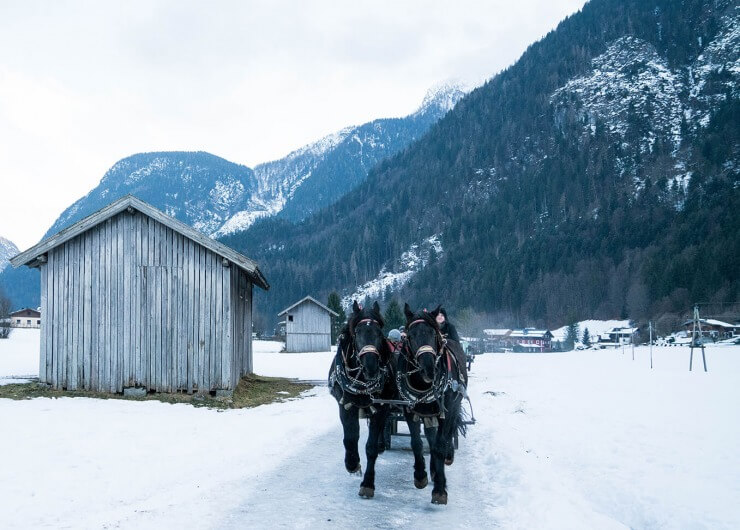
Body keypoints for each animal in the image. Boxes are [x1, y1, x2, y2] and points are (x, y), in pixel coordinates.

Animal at [328, 300, 396, 498]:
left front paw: (368, 483)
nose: (371, 366)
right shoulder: (346, 405)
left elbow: (370, 447)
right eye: (357, 332)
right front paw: (352, 464)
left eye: (379, 332)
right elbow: (350, 438)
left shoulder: (381, 407)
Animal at [396, 304, 466, 502]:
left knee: (446, 436)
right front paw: (420, 476)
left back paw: (445, 460)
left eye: (432, 334)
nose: (428, 368)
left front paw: (440, 489)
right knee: (430, 437)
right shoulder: (410, 410)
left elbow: (440, 445)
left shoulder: (447, 411)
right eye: (409, 336)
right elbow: (417, 443)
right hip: (428, 413)